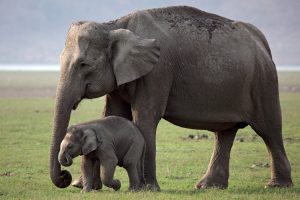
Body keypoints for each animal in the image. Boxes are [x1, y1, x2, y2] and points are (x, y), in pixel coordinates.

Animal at [50, 5, 292, 191]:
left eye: (84, 64)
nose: (64, 176)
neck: (114, 26)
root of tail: (263, 43)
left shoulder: (158, 72)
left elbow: (145, 117)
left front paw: (147, 189)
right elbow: (113, 114)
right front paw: (82, 186)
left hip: (263, 83)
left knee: (269, 129)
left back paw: (276, 186)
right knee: (225, 133)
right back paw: (209, 187)